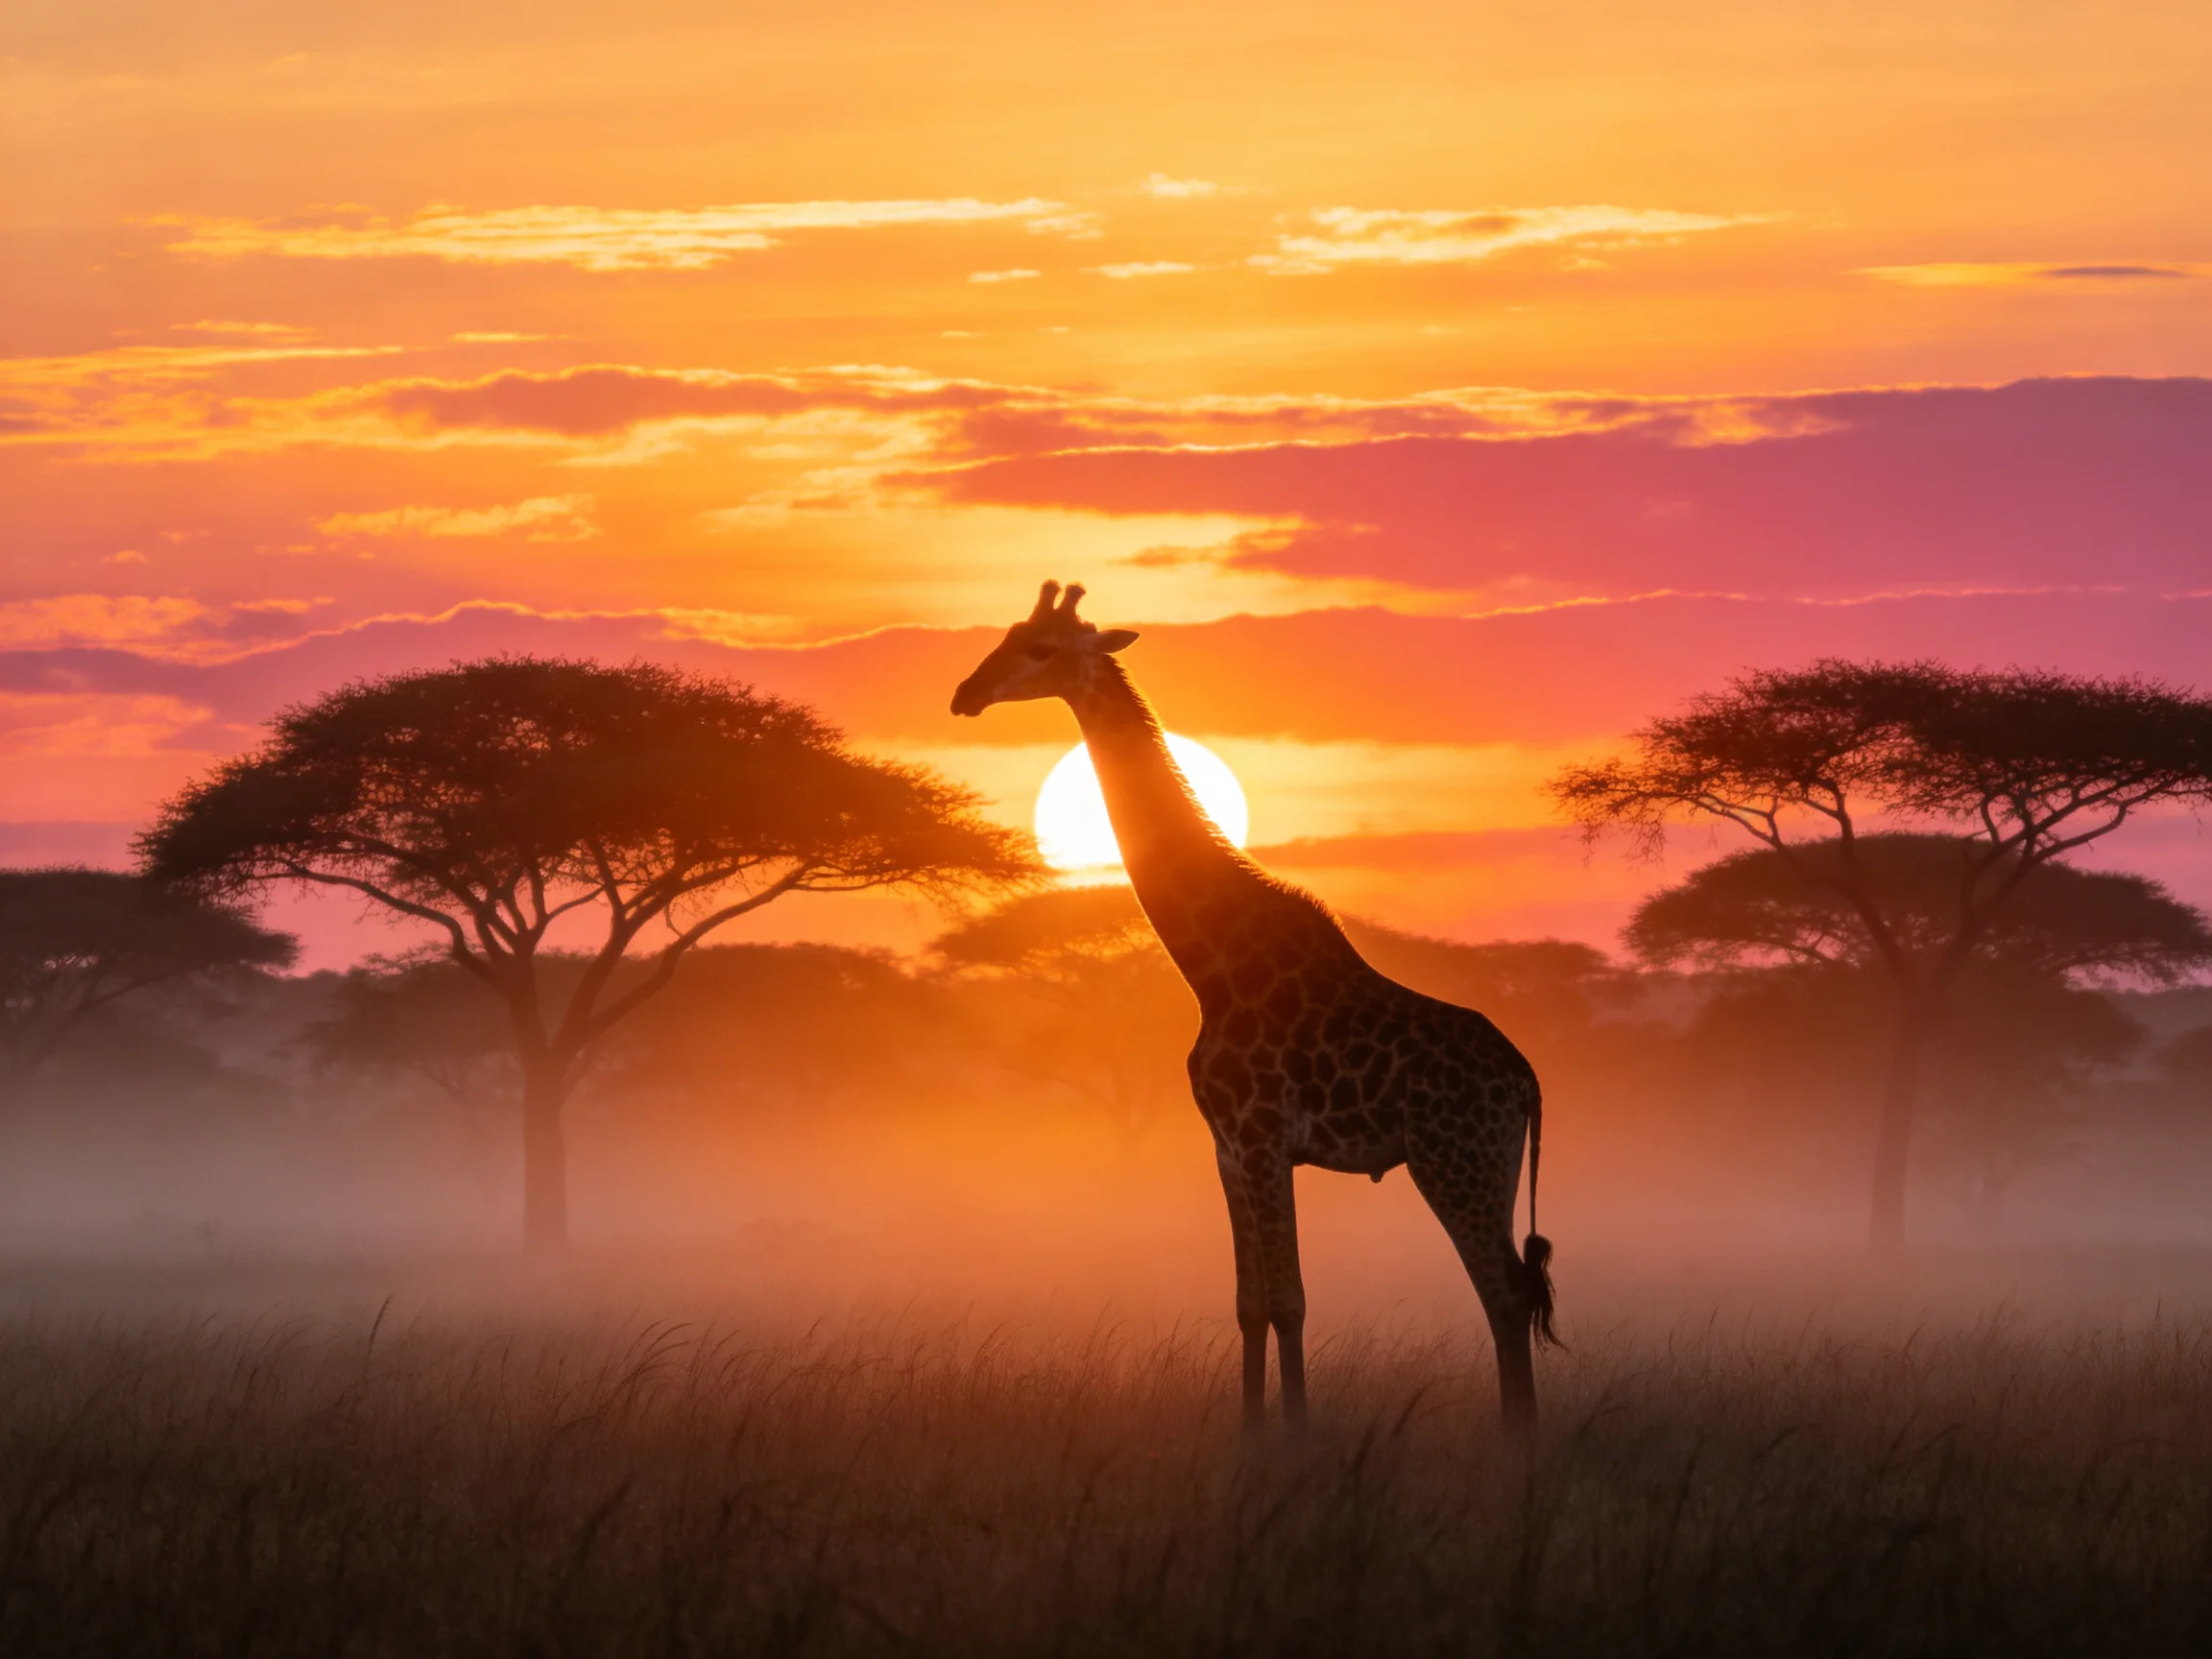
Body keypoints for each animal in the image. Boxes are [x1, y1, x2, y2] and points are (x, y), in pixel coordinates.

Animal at [952, 581, 1556, 1430]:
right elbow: (1249, 1304)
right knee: (1516, 1295)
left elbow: (1290, 1300)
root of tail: (1526, 1079)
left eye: (1040, 650)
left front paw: (1297, 1436)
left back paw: (1517, 1444)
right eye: (1006, 635)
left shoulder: (1266, 1137)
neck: (1212, 966)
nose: (965, 694)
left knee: (1504, 1296)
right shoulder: (1228, 1146)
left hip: (1454, 1160)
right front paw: (1250, 1434)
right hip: (1484, 1166)